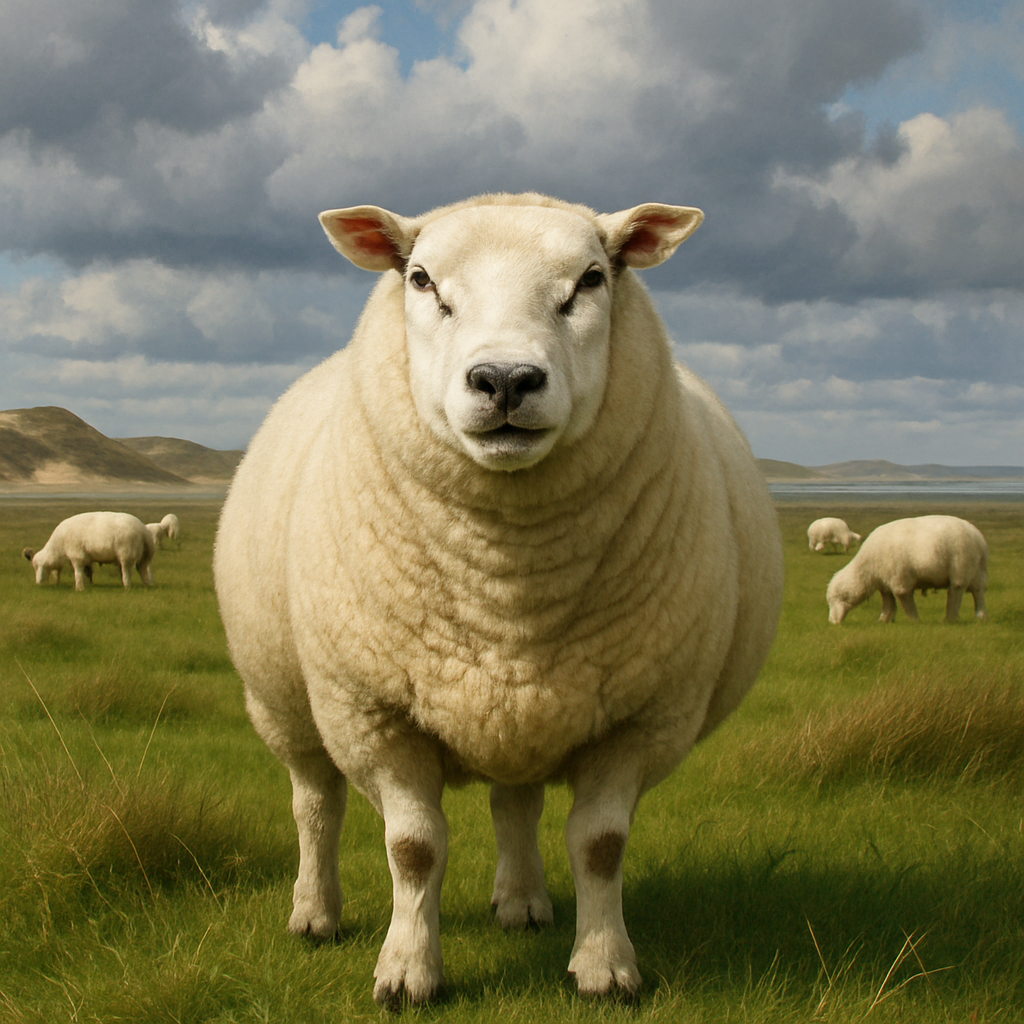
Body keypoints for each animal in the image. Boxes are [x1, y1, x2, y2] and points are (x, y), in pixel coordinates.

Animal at [24, 511, 155, 591]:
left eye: (40, 567)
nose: (38, 583)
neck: (59, 544)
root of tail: (142, 529)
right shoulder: (86, 558)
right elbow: (87, 572)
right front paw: (87, 585)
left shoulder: (77, 555)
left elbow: (78, 572)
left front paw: (79, 588)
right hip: (146, 555)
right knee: (143, 570)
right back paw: (147, 585)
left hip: (126, 553)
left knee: (127, 571)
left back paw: (127, 586)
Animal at [213, 192, 784, 1005]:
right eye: (421, 280)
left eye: (591, 278)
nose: (506, 379)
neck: (507, 594)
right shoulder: (375, 710)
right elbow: (412, 849)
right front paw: (407, 972)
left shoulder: (642, 717)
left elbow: (601, 845)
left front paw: (605, 967)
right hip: (286, 701)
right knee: (315, 803)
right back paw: (314, 914)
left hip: (521, 709)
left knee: (515, 801)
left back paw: (521, 904)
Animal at [826, 515, 988, 625]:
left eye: (835, 599)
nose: (833, 622)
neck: (867, 569)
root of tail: (979, 538)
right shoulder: (885, 581)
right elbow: (888, 602)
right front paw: (884, 620)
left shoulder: (899, 579)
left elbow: (903, 598)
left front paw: (914, 620)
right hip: (977, 571)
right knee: (978, 592)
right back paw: (980, 616)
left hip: (961, 565)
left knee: (956, 591)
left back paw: (950, 618)